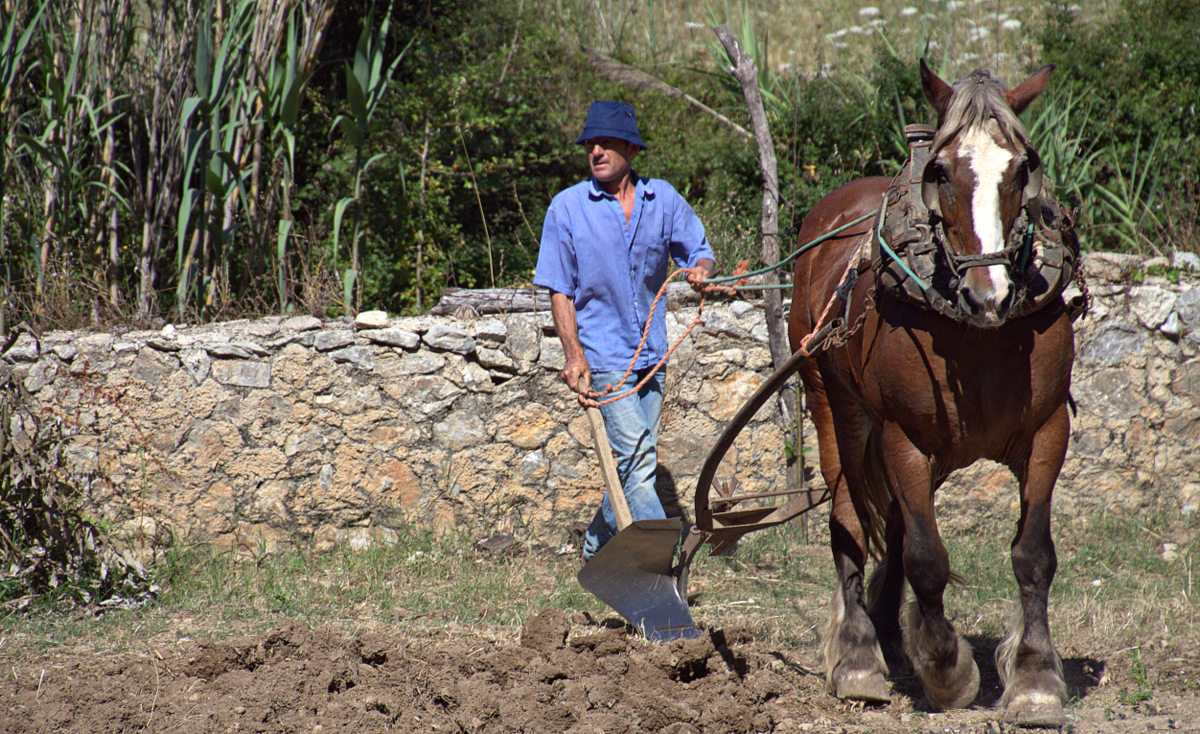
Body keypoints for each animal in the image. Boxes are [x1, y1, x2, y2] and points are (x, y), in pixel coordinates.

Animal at [792, 60, 1075, 724]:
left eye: (1022, 167)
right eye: (941, 170)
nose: (988, 294)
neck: (980, 334)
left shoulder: (1049, 428)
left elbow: (1034, 555)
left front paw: (1035, 678)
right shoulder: (903, 437)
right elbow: (926, 558)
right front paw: (947, 670)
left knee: (893, 525)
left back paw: (892, 638)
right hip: (834, 409)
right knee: (849, 520)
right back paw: (859, 655)